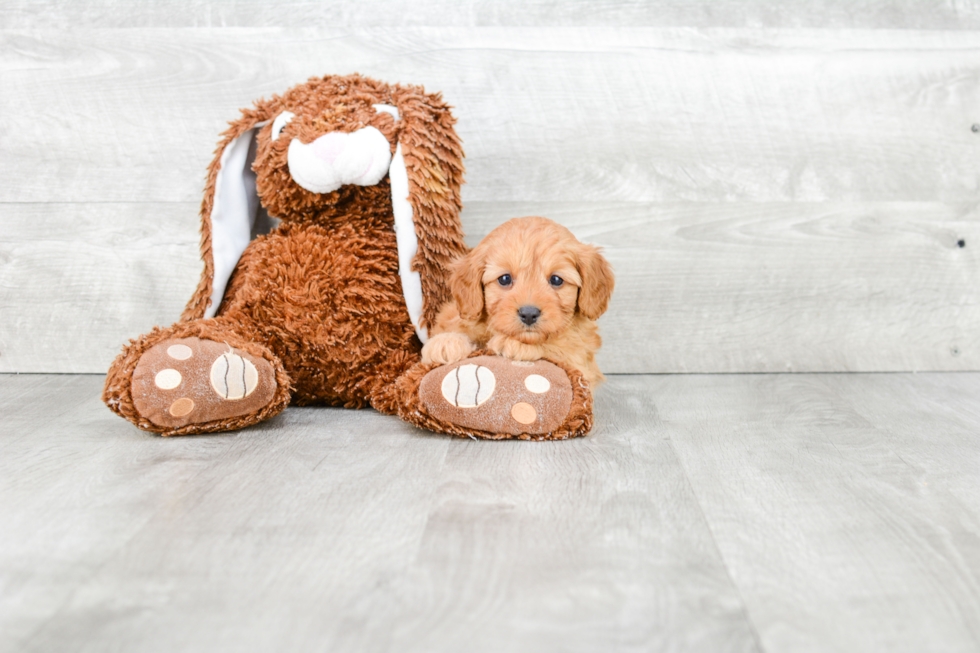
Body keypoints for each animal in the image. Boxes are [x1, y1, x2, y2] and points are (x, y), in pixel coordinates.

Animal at [422, 214, 612, 388]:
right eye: (505, 279)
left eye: (556, 280)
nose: (528, 314)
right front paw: (445, 341)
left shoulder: (581, 362)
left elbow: (559, 345)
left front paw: (514, 343)